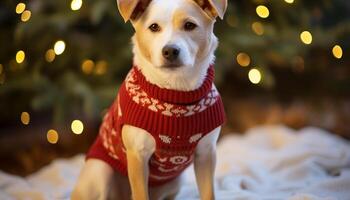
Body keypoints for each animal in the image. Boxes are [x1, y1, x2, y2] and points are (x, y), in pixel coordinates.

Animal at [72, 0, 228, 200]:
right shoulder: (138, 157)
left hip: (176, 181)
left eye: (189, 25)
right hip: (100, 171)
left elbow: (208, 193)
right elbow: (140, 194)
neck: (175, 92)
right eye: (154, 27)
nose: (170, 50)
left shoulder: (206, 154)